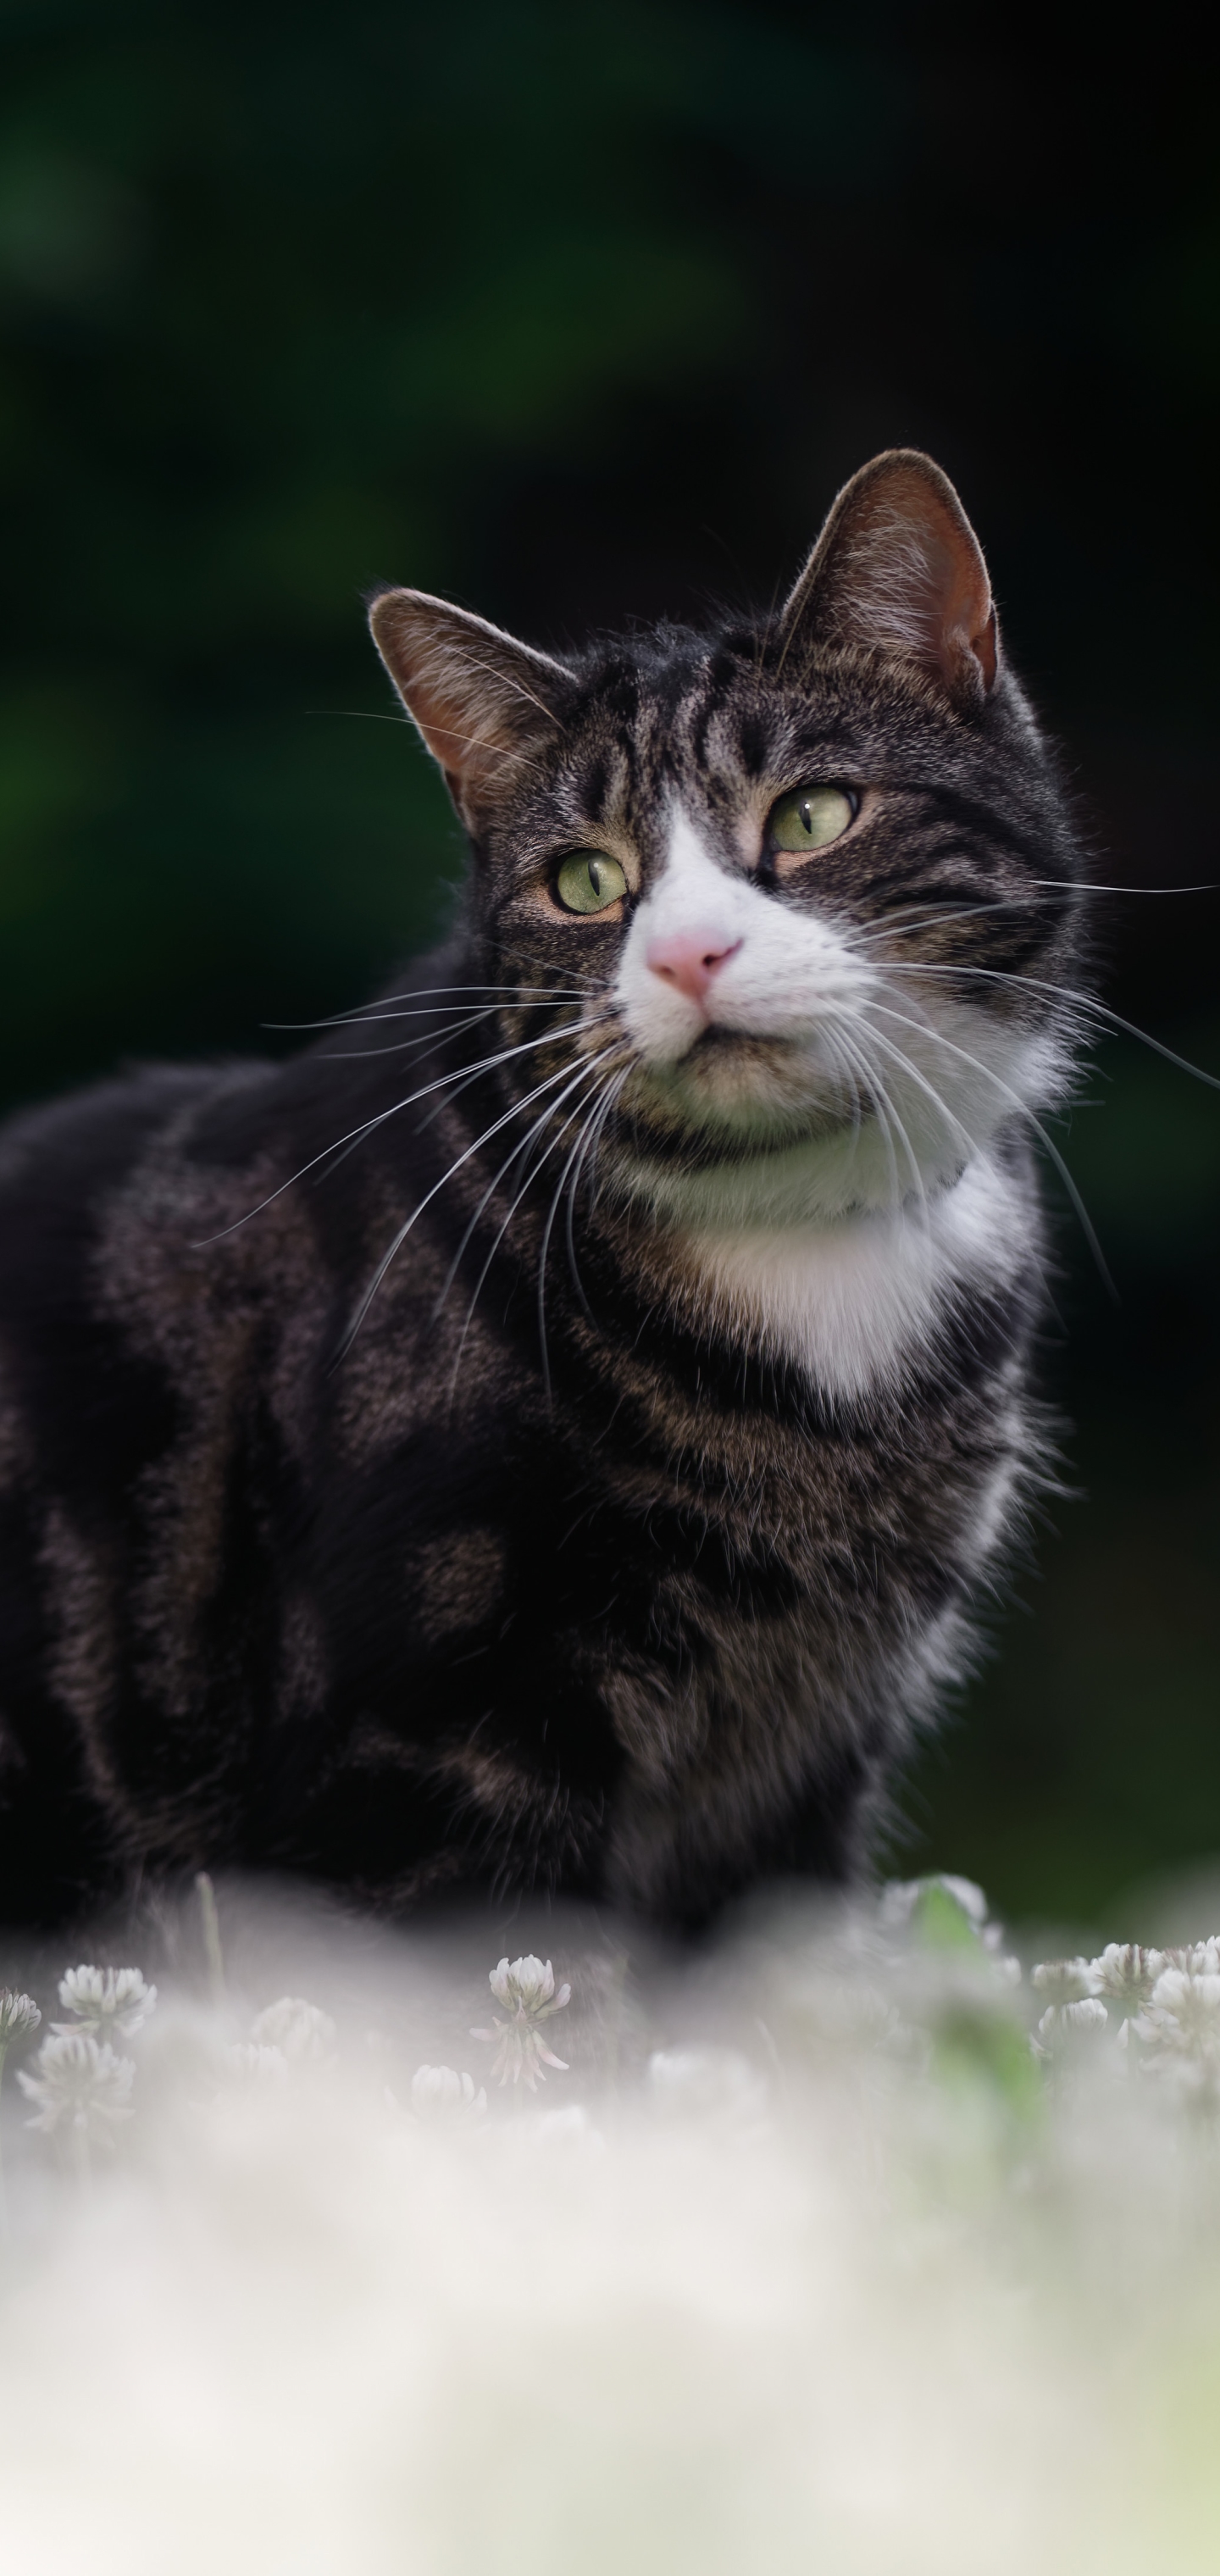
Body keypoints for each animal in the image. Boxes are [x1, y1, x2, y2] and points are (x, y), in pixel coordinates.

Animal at [0, 453, 1086, 1926]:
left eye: (813, 815)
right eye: (586, 881)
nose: (687, 953)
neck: (797, 1233)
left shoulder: (806, 1762)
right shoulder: (433, 1737)